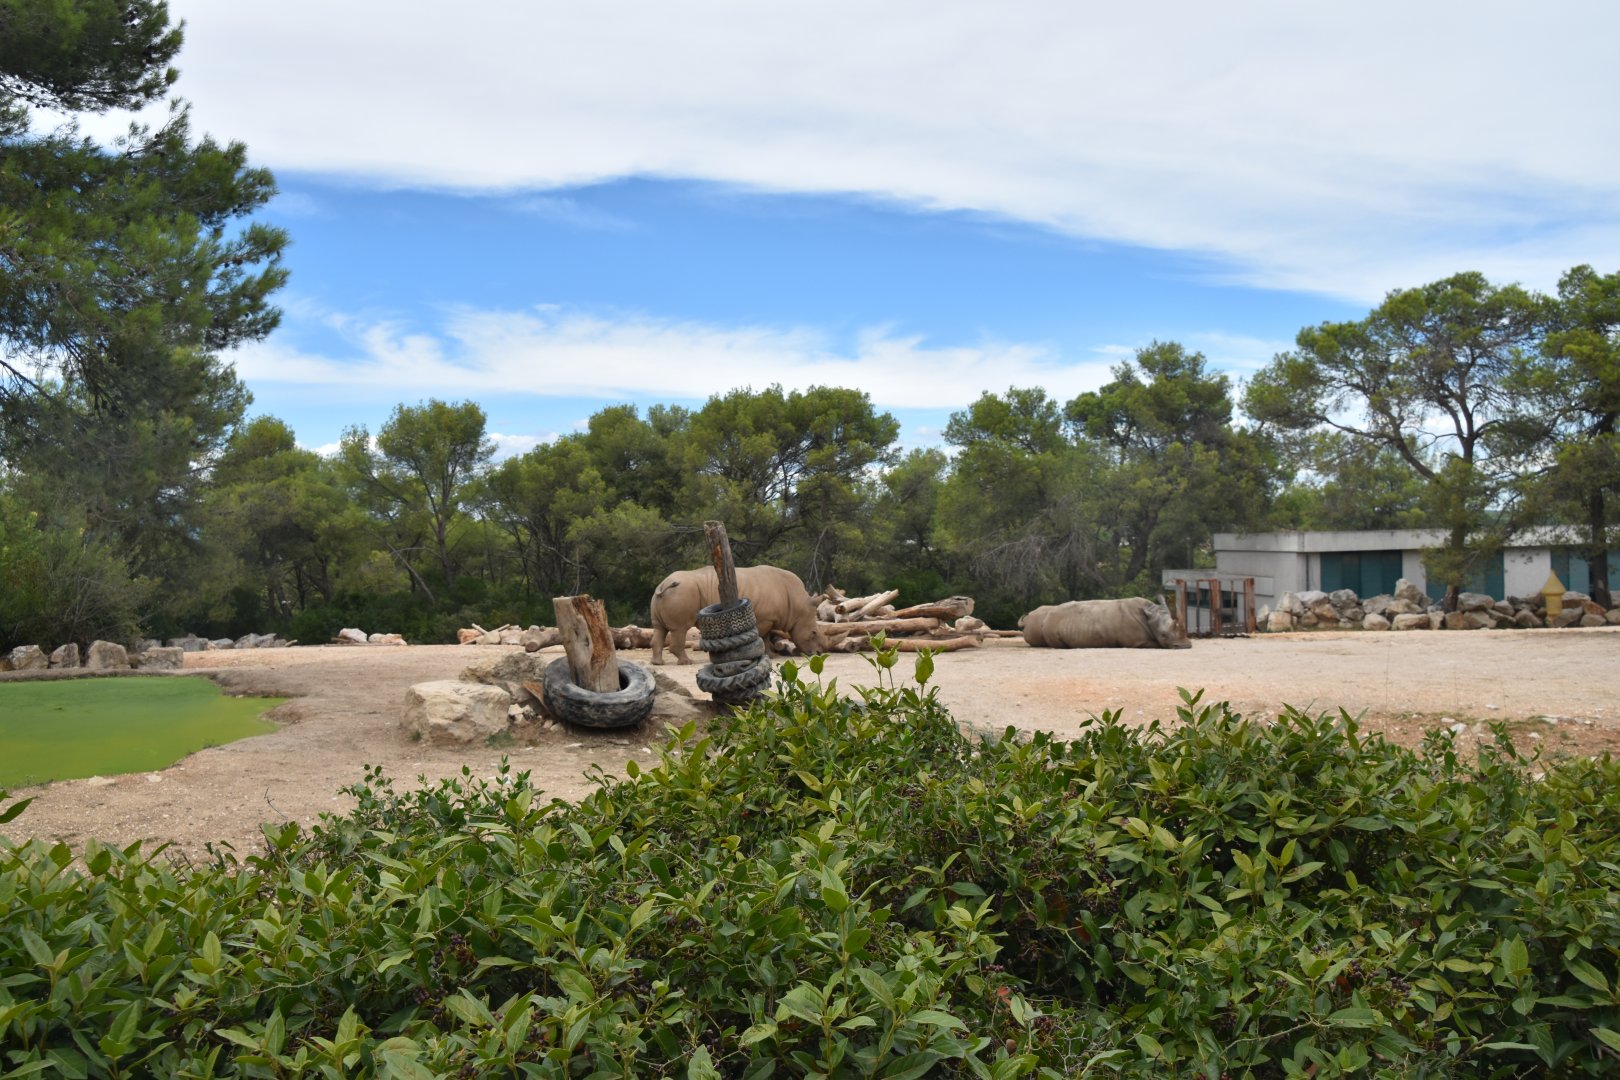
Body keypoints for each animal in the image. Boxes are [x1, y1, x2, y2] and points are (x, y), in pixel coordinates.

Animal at [649, 564, 828, 665]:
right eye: (813, 633)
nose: (819, 653)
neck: (798, 606)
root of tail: (663, 585)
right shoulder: (765, 618)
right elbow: (763, 636)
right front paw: (770, 656)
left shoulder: (769, 618)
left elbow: (766, 636)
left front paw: (772, 655)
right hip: (681, 593)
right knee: (679, 629)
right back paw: (687, 662)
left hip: (664, 595)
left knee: (659, 629)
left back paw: (658, 663)